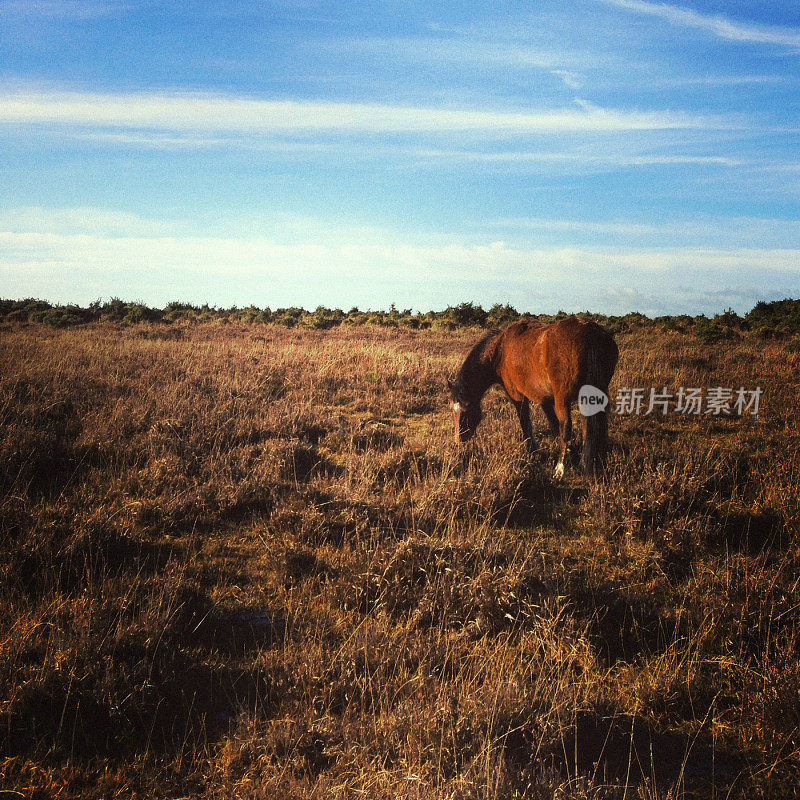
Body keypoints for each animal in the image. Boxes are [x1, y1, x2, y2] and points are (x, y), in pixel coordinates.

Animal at [450, 314, 620, 476]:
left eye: (465, 412)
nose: (458, 441)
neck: (500, 350)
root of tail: (590, 332)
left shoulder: (517, 396)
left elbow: (525, 422)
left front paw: (533, 450)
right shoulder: (544, 398)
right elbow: (552, 423)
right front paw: (570, 451)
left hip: (563, 399)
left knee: (566, 426)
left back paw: (560, 469)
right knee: (592, 427)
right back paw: (589, 463)